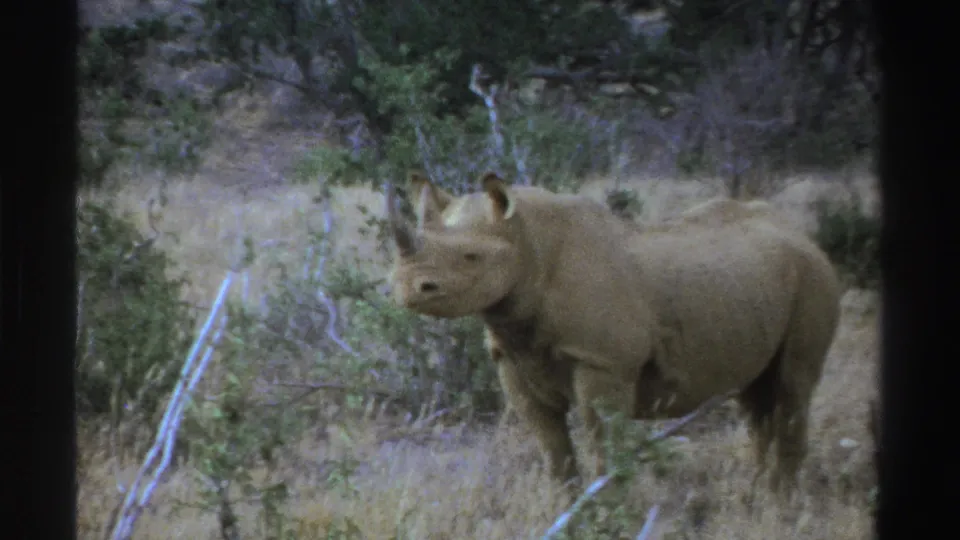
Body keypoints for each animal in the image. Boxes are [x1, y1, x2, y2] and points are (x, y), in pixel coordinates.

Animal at [386, 171, 842, 495]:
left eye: (471, 257)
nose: (409, 289)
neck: (529, 244)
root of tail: (802, 235)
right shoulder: (512, 357)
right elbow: (553, 449)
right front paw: (566, 509)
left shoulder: (603, 361)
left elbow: (603, 442)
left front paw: (607, 514)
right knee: (757, 397)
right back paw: (754, 497)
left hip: (814, 278)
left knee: (793, 385)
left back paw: (779, 506)